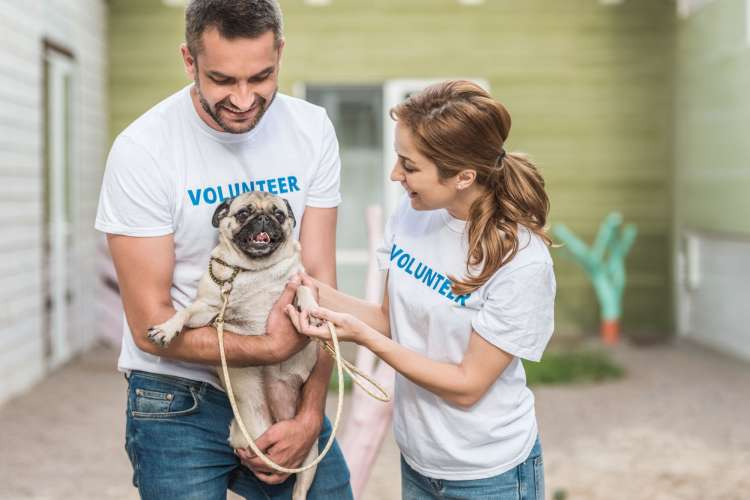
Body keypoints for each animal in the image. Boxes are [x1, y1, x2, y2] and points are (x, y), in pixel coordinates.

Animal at [146, 190, 320, 500]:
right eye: (243, 213)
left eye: (278, 214)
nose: (263, 218)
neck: (255, 270)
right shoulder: (208, 309)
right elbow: (185, 312)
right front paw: (167, 328)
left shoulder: (296, 282)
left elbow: (302, 287)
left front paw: (310, 308)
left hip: (311, 455)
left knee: (299, 488)